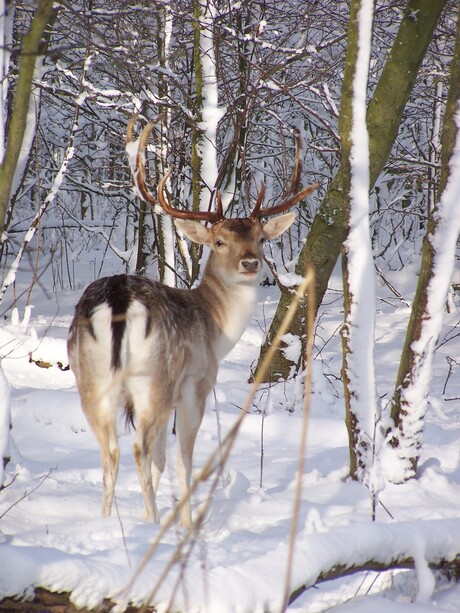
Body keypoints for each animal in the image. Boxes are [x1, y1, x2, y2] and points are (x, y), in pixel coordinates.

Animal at [68, 120, 318, 524]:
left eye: (261, 238)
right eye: (219, 241)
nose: (250, 262)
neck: (214, 328)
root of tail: (118, 297)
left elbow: (160, 459)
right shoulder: (195, 382)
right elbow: (181, 458)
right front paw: (182, 522)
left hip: (89, 378)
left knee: (111, 451)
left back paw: (109, 523)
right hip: (155, 377)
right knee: (138, 448)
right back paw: (154, 521)